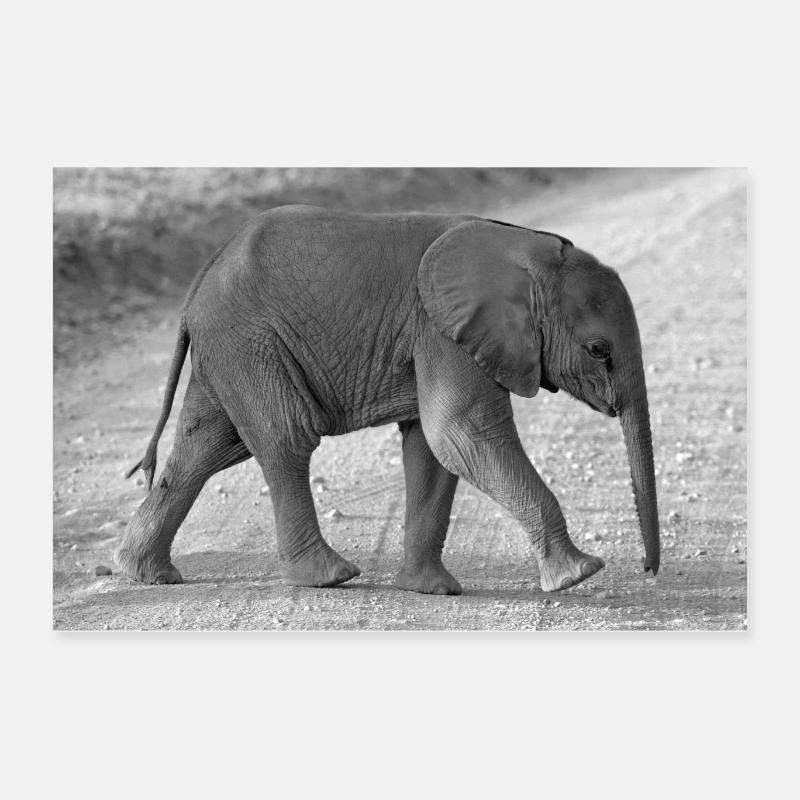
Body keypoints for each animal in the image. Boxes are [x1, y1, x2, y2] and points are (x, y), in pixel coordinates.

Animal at [116, 204, 660, 595]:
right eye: (599, 350)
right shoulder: (440, 330)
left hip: (230, 348)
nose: (649, 571)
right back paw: (329, 578)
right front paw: (580, 574)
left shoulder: (440, 335)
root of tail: (201, 280)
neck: (525, 247)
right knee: (284, 439)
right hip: (250, 341)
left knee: (206, 447)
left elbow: (433, 449)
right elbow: (462, 434)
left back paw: (147, 574)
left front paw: (432, 591)